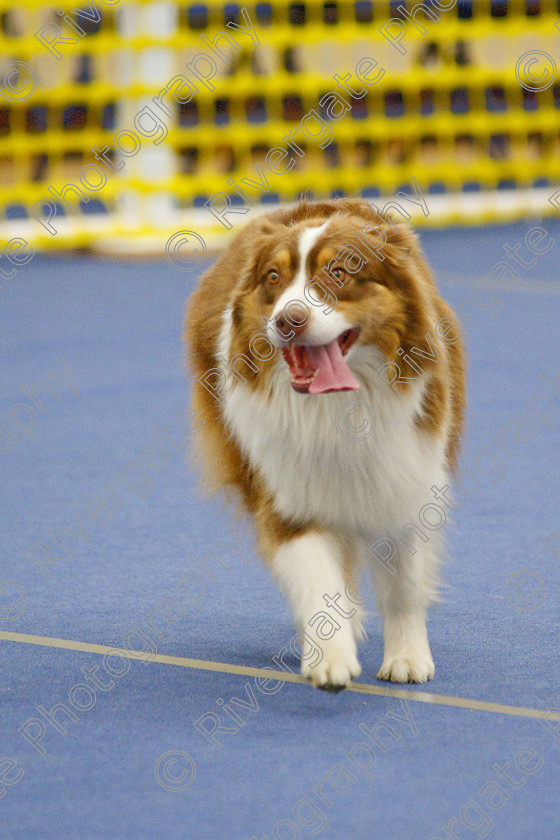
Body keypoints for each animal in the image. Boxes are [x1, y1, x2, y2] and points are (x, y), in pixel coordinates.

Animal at [183, 200, 464, 692]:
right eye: (273, 277)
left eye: (339, 272)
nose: (288, 320)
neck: (339, 409)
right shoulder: (287, 496)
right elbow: (314, 575)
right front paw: (329, 656)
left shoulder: (407, 477)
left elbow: (404, 585)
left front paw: (408, 657)